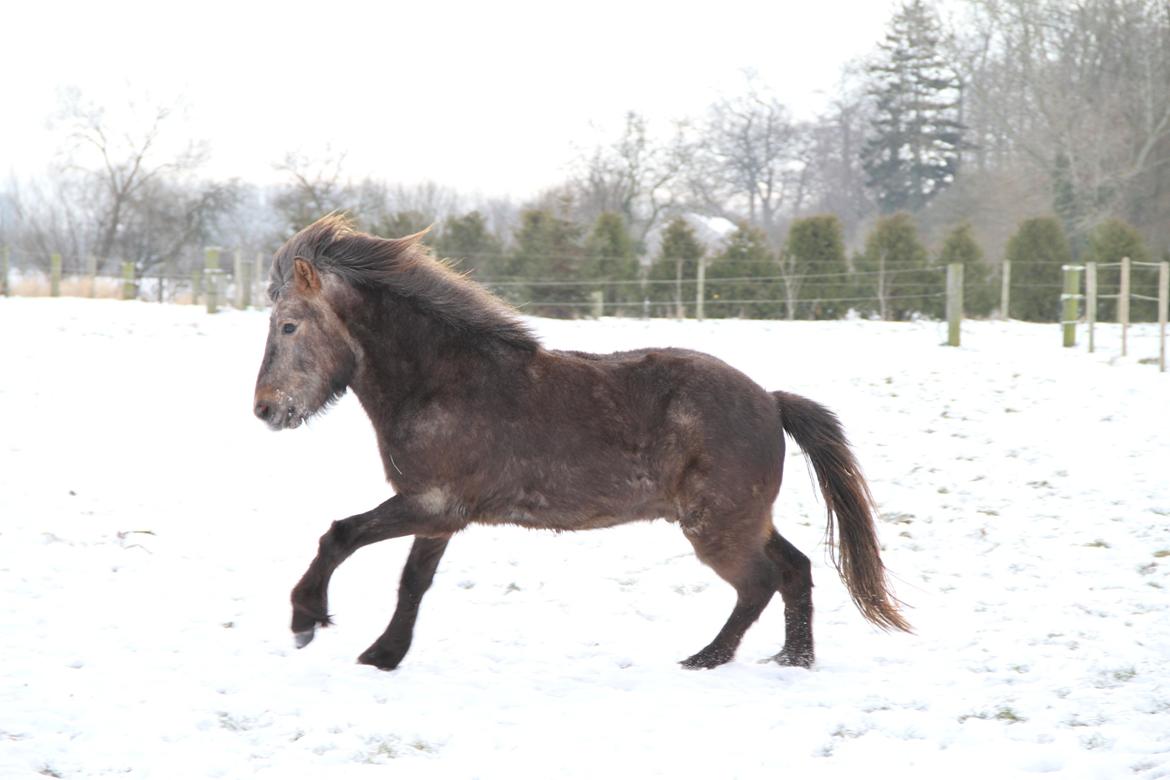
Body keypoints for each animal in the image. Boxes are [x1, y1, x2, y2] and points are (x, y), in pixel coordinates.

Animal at [253, 216, 912, 673]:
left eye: (289, 325)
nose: (264, 409)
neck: (441, 381)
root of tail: (771, 402)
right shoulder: (439, 514)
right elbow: (413, 582)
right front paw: (385, 655)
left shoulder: (432, 504)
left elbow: (341, 535)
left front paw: (307, 618)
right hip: (742, 519)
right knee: (795, 570)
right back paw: (791, 661)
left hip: (717, 525)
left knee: (759, 584)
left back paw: (705, 659)